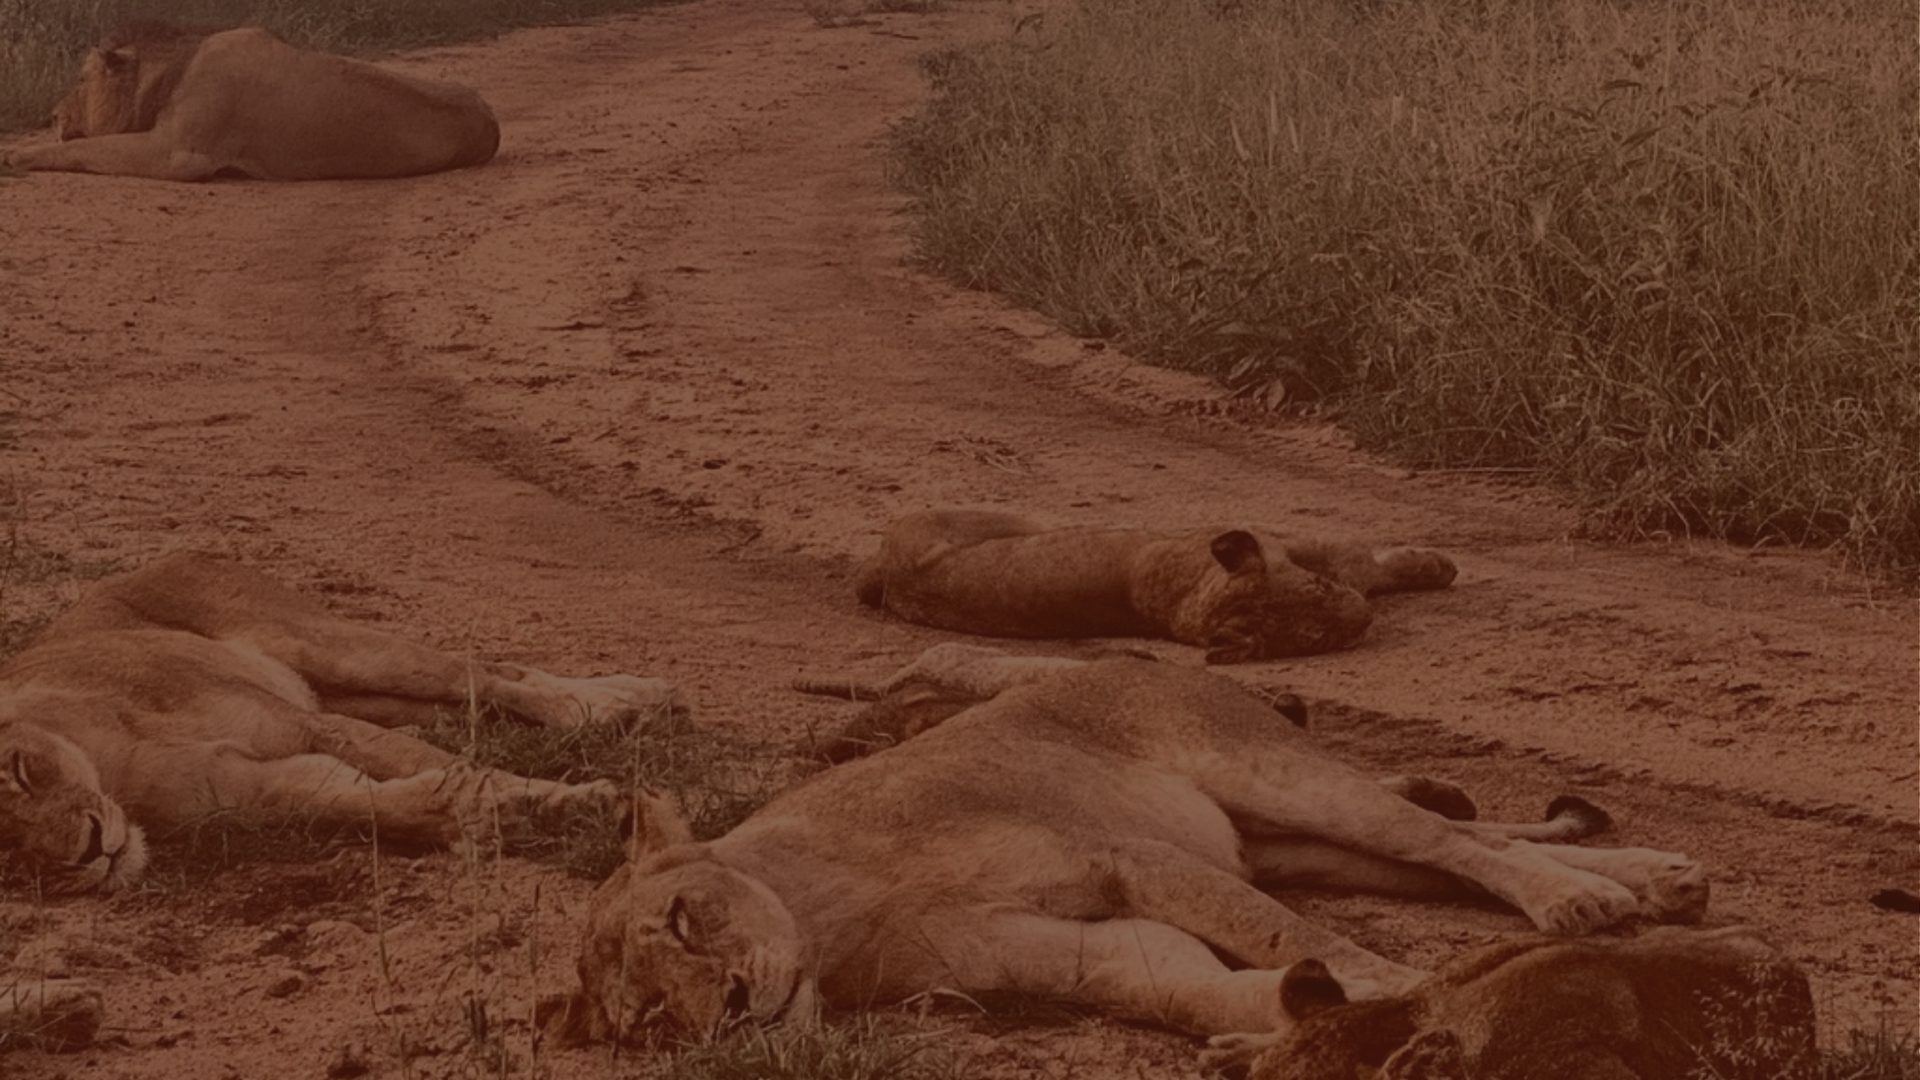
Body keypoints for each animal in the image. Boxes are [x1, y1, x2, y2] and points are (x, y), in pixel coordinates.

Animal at [0, 553, 680, 891]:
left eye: (20, 770)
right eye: (7, 859)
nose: (87, 853)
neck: (108, 764)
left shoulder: (304, 729)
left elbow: (466, 771)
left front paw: (576, 805)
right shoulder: (268, 787)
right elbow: (386, 801)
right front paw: (490, 819)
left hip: (330, 646)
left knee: (486, 673)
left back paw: (622, 703)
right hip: (352, 691)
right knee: (468, 702)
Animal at [4, 24, 499, 181]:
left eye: (81, 78)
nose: (52, 114)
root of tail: (492, 119)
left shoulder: (177, 155)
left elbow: (81, 149)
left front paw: (15, 155)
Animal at [545, 652, 1705, 1047]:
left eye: (684, 920)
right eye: (650, 1021)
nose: (734, 1009)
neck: (828, 925)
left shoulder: (1122, 859)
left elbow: (1284, 937)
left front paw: (1404, 992)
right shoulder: (1071, 950)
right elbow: (1192, 984)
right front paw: (1294, 1012)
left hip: (1272, 775)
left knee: (1436, 833)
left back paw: (1582, 904)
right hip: (1285, 840)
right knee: (1441, 845)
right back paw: (1652, 882)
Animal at [854, 510, 1457, 663]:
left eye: (1318, 595)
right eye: (1317, 641)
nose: (1363, 622)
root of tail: (884, 570)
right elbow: (1364, 563)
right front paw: (1437, 565)